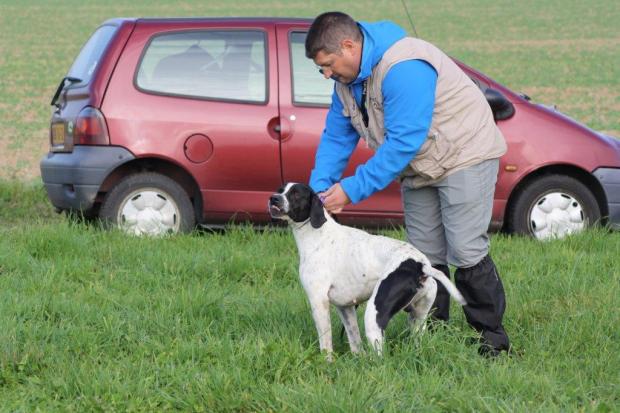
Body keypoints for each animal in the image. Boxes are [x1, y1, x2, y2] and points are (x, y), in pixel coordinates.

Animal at [266, 182, 464, 356]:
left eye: (296, 194)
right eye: (280, 190)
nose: (273, 198)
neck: (318, 235)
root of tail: (419, 264)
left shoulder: (318, 301)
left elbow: (326, 342)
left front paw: (327, 362)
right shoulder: (346, 307)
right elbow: (354, 340)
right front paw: (357, 359)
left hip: (373, 317)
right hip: (418, 320)